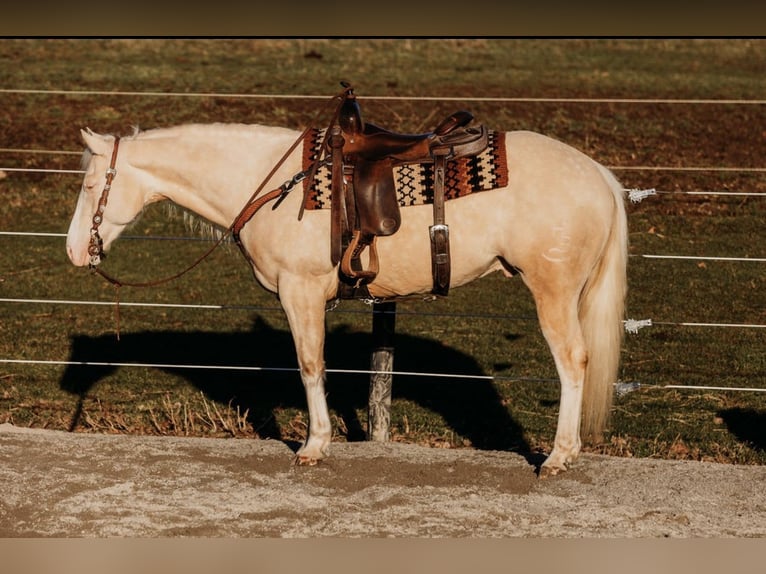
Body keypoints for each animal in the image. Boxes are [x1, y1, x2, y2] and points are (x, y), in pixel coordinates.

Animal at [66, 121, 628, 477]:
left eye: (91, 185)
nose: (74, 251)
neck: (273, 185)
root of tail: (599, 174)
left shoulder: (301, 291)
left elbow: (311, 364)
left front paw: (315, 446)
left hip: (553, 293)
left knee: (572, 362)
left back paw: (559, 457)